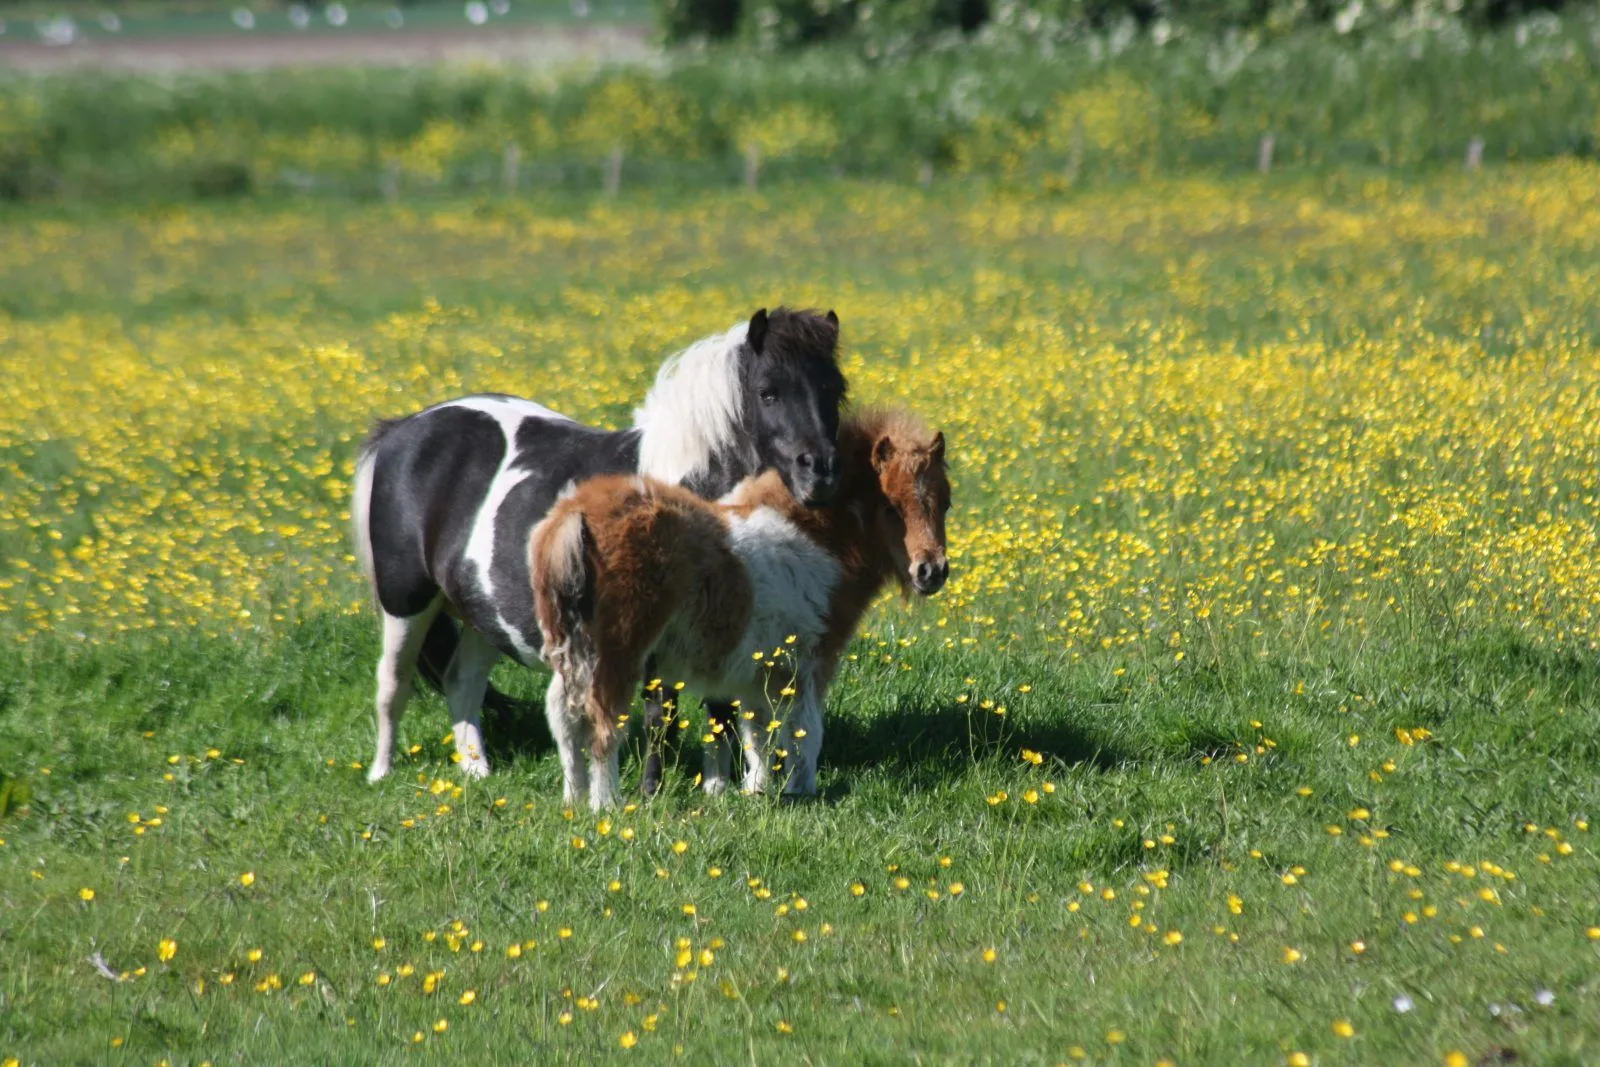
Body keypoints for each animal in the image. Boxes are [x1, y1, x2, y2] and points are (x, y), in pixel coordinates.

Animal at [353, 308, 851, 783]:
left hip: (482, 609)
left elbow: (720, 712)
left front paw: (717, 788)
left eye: (835, 390)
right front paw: (654, 791)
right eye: (768, 392)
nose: (822, 472)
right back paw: (382, 772)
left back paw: (477, 771)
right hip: (405, 600)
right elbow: (660, 716)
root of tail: (405, 428)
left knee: (462, 681)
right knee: (392, 684)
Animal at [524, 412, 947, 809]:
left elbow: (755, 732)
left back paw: (574, 799)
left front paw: (755, 789)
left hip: (569, 648)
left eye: (945, 503)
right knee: (604, 721)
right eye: (891, 506)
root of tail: (576, 515)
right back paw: (606, 804)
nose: (931, 571)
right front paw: (801, 789)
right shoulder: (812, 661)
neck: (819, 539)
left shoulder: (759, 670)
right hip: (619, 652)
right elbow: (805, 729)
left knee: (562, 717)